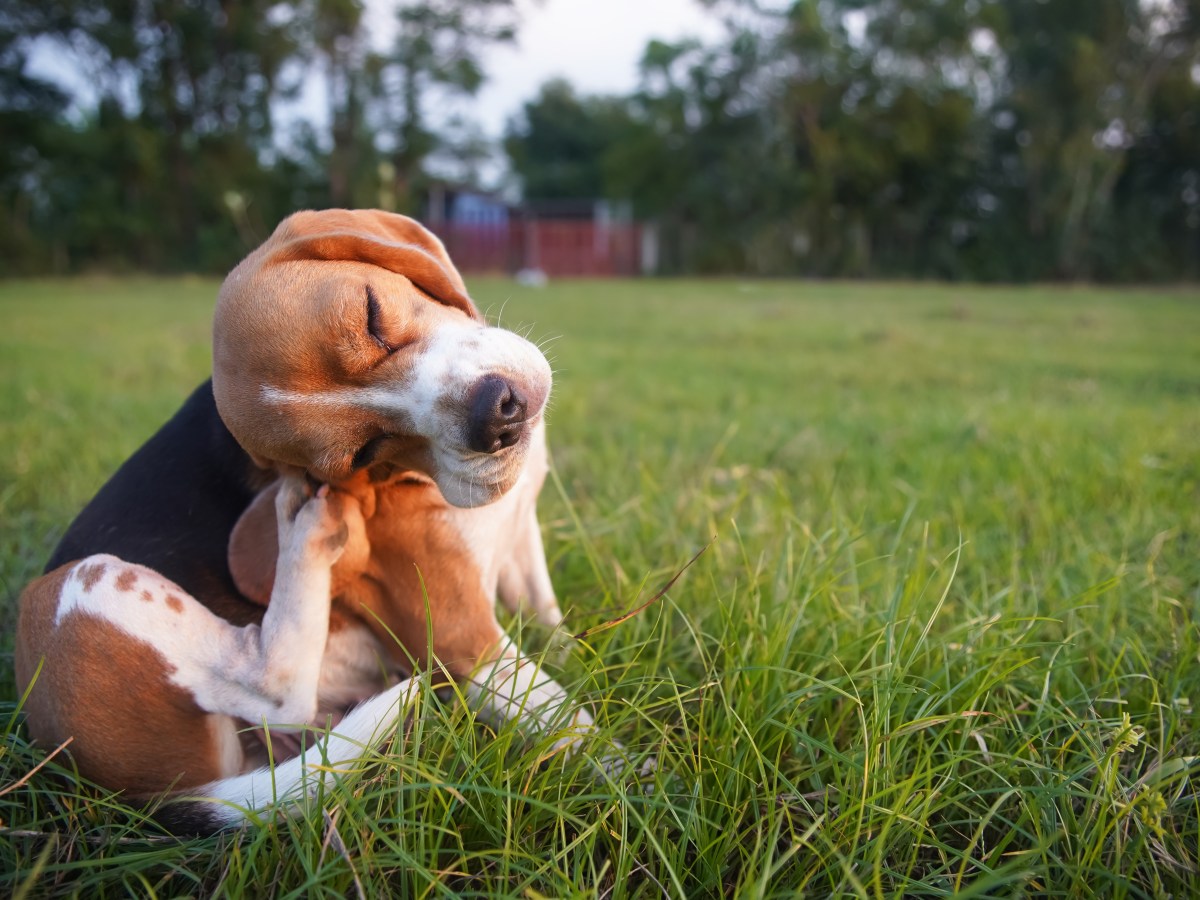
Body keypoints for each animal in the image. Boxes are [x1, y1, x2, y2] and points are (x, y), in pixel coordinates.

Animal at [14, 210, 619, 840]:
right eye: (363, 453)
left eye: (372, 315)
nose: (496, 418)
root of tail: (142, 796)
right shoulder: (465, 642)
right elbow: (574, 724)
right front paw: (638, 784)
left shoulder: (522, 546)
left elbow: (552, 625)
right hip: (74, 589)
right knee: (273, 687)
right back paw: (304, 531)